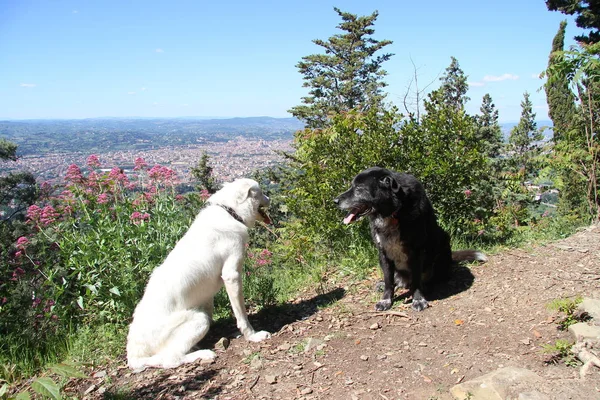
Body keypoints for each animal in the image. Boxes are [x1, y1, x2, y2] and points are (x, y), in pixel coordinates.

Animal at [126, 178, 272, 368]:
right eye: (260, 192)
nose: (269, 198)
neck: (229, 211)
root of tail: (133, 353)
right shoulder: (232, 275)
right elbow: (242, 315)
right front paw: (253, 335)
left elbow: (211, 306)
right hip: (197, 319)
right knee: (170, 359)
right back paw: (202, 354)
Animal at [336, 167, 486, 310]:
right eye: (351, 186)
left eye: (359, 188)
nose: (335, 201)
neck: (394, 212)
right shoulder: (383, 252)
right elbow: (388, 281)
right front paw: (385, 300)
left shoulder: (416, 251)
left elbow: (416, 280)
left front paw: (418, 299)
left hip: (443, 243)